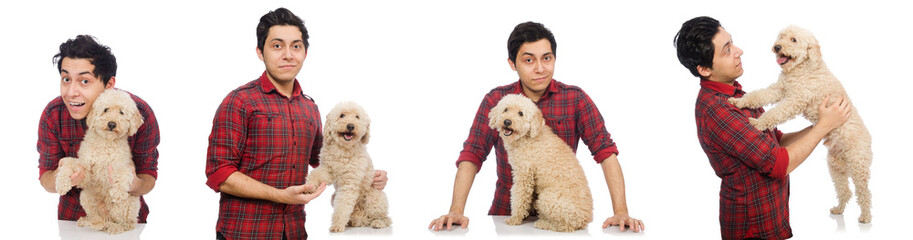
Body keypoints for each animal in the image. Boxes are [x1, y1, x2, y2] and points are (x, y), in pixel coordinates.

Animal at [308, 101, 390, 232]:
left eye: (357, 117)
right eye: (342, 115)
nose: (350, 126)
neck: (343, 150)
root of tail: (362, 216)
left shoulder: (349, 183)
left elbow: (342, 206)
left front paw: (337, 225)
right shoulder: (327, 169)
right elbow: (316, 174)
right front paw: (310, 186)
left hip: (374, 198)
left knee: (385, 218)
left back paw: (378, 222)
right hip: (334, 197)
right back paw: (352, 221)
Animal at [488, 94, 596, 232]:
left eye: (520, 113)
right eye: (506, 109)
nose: (507, 121)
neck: (527, 137)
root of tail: (586, 218)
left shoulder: (524, 174)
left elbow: (519, 197)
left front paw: (515, 219)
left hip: (547, 198)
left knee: (567, 225)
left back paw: (544, 223)